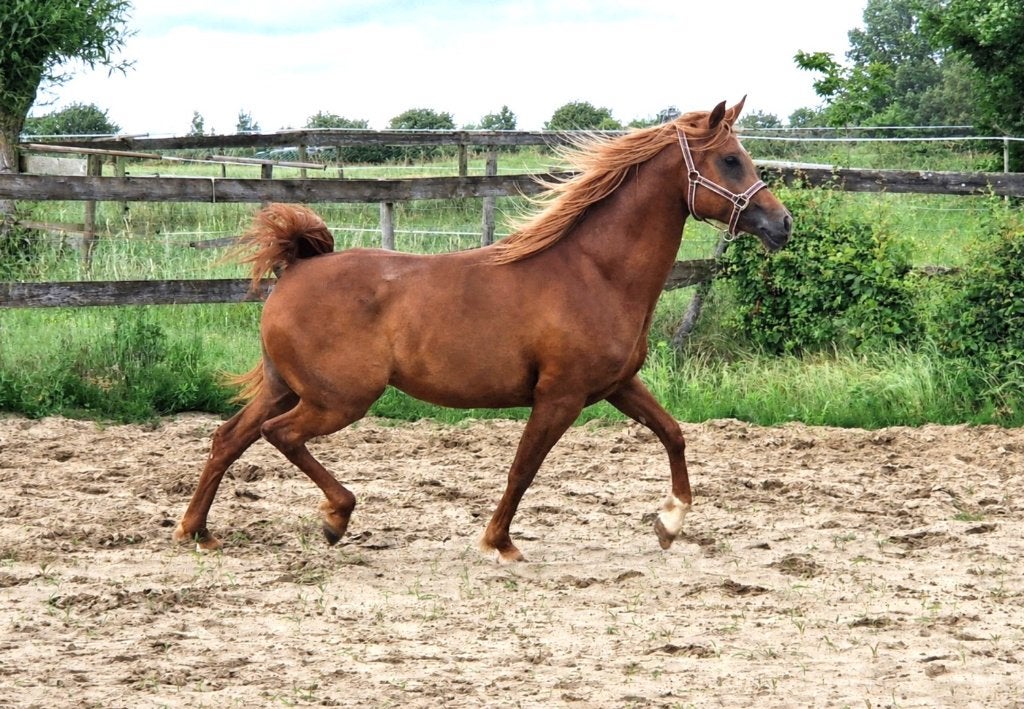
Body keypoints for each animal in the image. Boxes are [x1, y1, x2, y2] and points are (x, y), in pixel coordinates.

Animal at [173, 98, 792, 562]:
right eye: (731, 160)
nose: (782, 223)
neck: (595, 272)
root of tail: (297, 267)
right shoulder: (560, 396)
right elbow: (523, 469)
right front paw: (500, 543)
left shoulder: (617, 385)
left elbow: (674, 433)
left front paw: (669, 522)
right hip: (338, 399)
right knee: (278, 435)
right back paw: (334, 518)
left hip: (287, 386)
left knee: (229, 438)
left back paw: (198, 532)